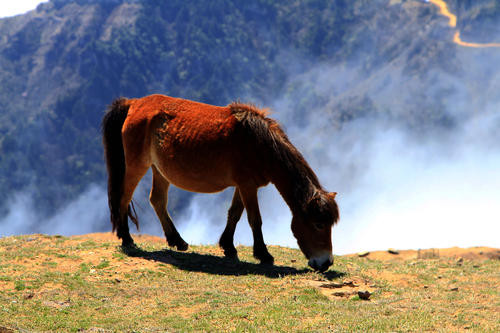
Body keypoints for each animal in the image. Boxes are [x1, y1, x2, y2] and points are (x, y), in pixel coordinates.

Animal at [101, 92, 340, 270]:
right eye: (319, 224)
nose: (326, 263)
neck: (259, 145)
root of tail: (134, 103)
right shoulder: (247, 186)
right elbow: (255, 220)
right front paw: (263, 255)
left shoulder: (243, 186)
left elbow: (234, 214)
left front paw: (228, 247)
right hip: (137, 166)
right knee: (124, 198)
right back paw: (127, 238)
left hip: (159, 171)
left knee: (157, 201)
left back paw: (177, 241)